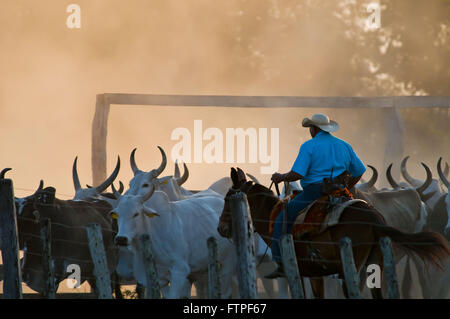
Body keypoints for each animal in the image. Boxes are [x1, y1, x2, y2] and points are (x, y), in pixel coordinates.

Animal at [217, 168, 450, 300]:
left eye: (228, 197)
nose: (221, 228)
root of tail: (374, 218)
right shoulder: (316, 274)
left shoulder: (297, 272)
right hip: (375, 264)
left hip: (352, 270)